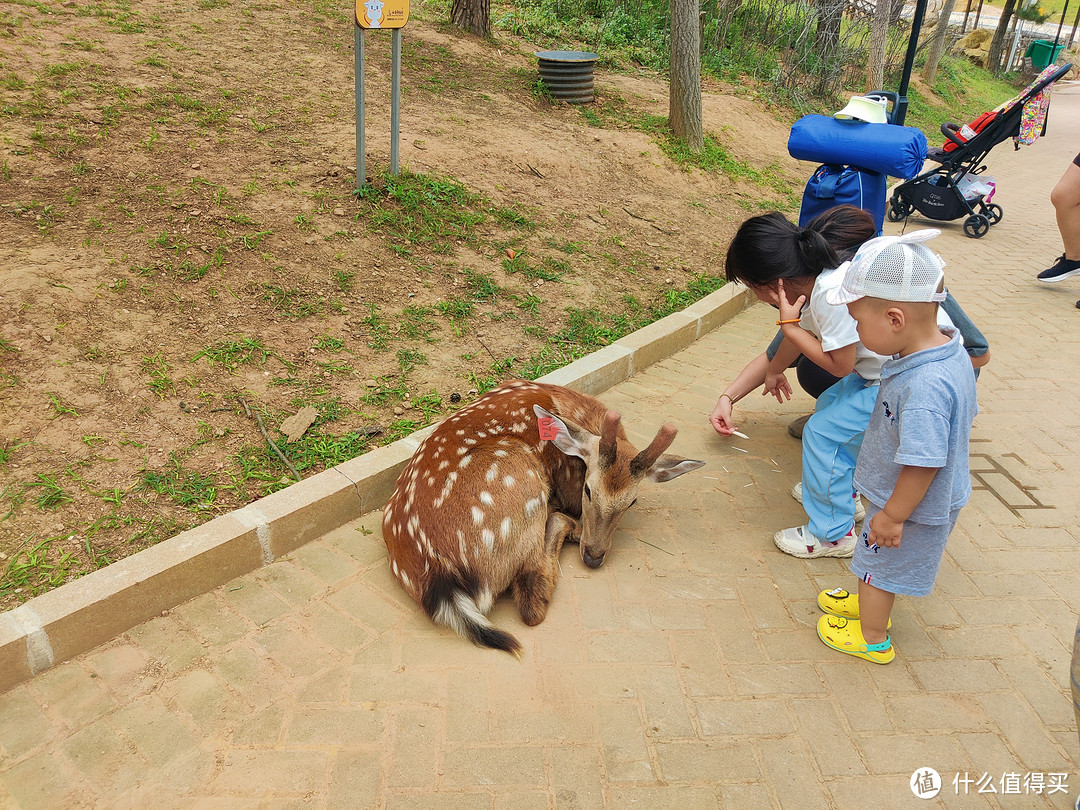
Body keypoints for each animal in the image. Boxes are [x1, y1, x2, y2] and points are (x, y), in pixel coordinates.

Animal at [384, 382, 704, 660]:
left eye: (632, 501)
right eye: (588, 489)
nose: (594, 556)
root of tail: (441, 578)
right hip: (521, 476)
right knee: (531, 600)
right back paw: (565, 524)